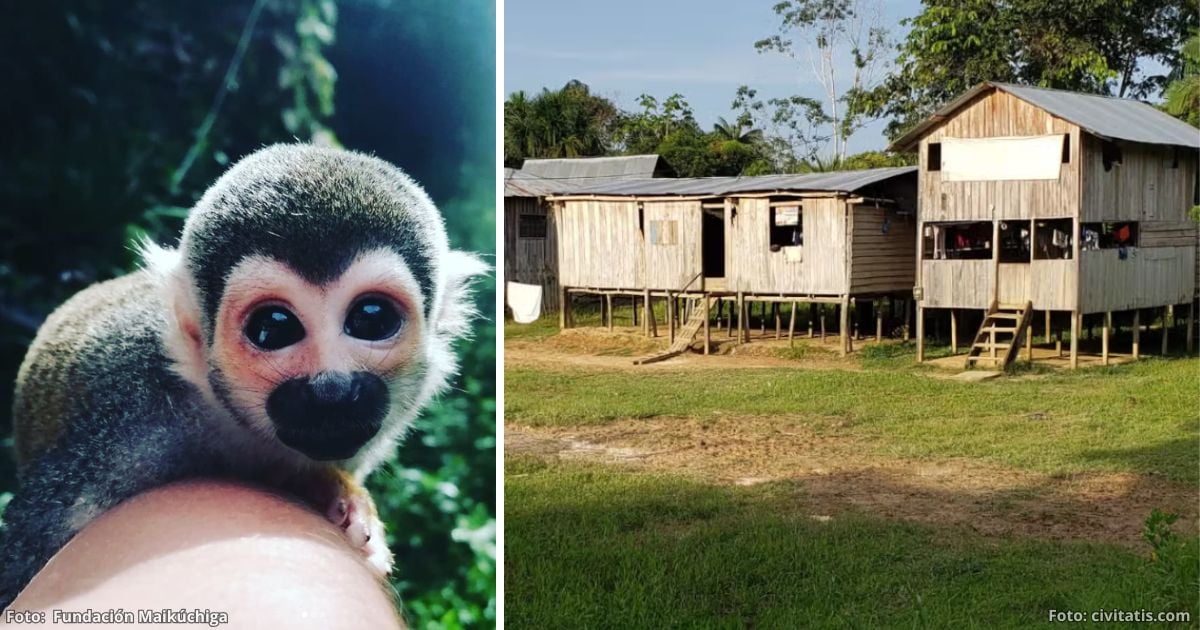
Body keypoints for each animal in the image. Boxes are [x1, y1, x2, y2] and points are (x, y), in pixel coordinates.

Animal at [0, 143, 487, 608]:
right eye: (274, 327)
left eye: (371, 318)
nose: (332, 391)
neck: (223, 417)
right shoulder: (120, 432)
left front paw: (336, 493)